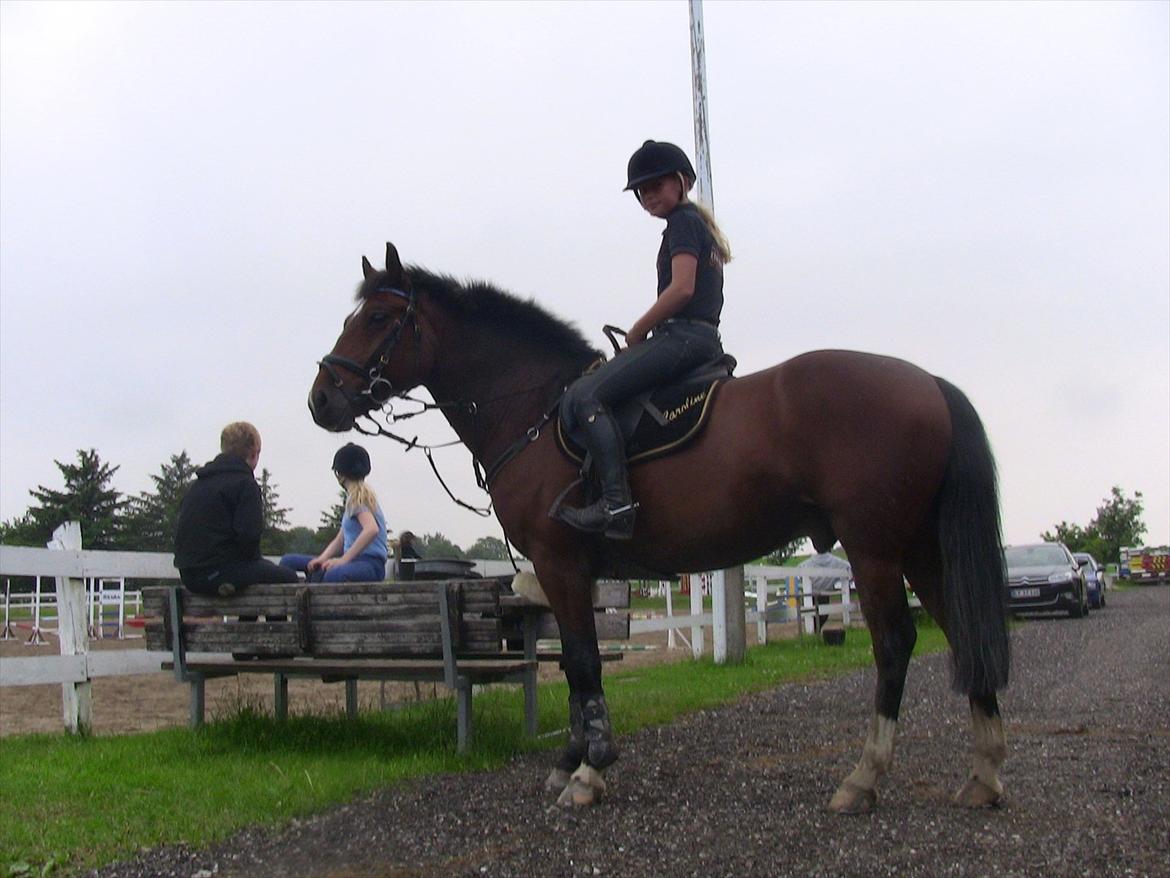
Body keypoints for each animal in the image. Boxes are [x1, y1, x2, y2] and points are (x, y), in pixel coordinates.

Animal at [306, 244, 1010, 814]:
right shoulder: (570, 572)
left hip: (874, 547)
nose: (320, 399)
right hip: (920, 548)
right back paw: (984, 774)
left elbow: (584, 661)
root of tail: (928, 383)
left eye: (376, 320)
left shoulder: (560, 562)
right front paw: (572, 758)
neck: (534, 410)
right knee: (960, 628)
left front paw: (589, 773)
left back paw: (864, 779)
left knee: (895, 644)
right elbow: (575, 664)